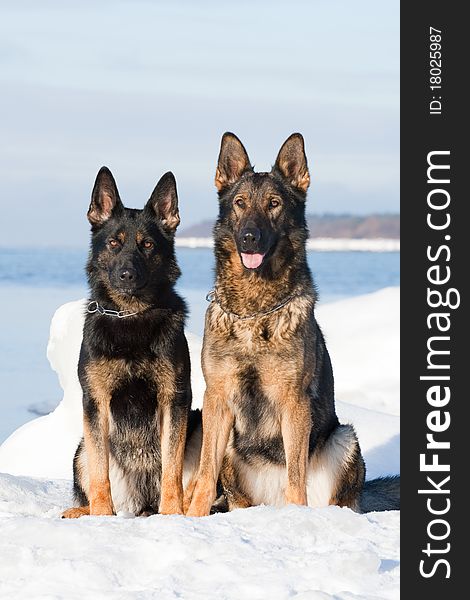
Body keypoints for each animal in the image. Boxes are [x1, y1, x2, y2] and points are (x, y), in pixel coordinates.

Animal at [62, 166, 200, 516]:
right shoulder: (95, 402)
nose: (127, 275)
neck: (131, 316)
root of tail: (142, 502)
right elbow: (100, 471)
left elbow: (171, 467)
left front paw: (172, 514)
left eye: (147, 245)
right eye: (114, 243)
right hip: (80, 449)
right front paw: (101, 515)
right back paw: (84, 511)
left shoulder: (175, 398)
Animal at [185, 131, 398, 516]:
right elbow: (205, 475)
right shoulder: (217, 400)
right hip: (233, 453)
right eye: (239, 203)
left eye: (274, 204)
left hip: (344, 439)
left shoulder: (294, 403)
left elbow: (295, 478)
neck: (256, 311)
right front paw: (192, 516)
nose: (249, 237)